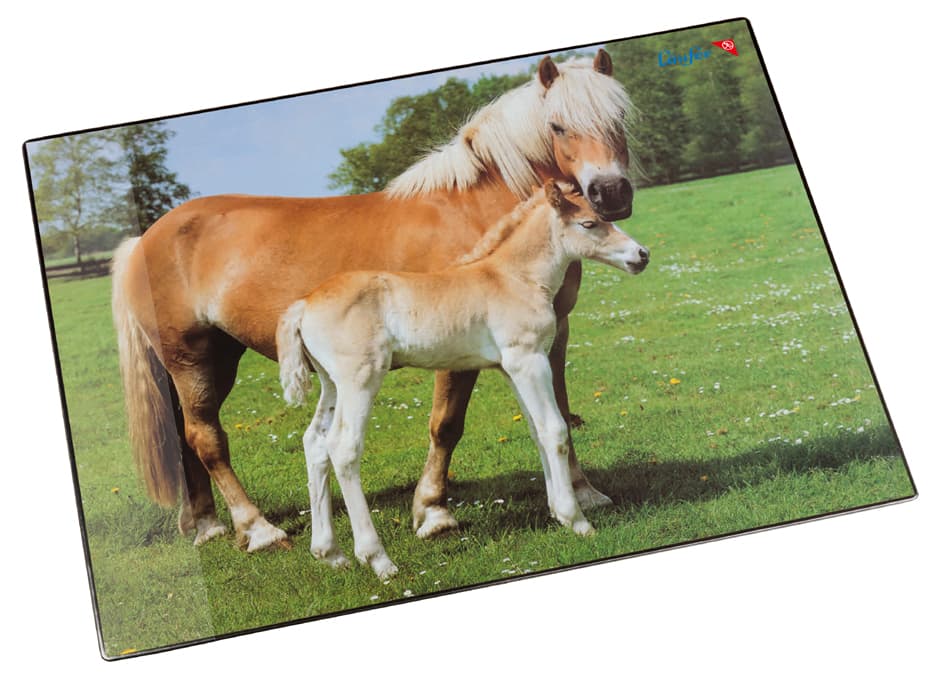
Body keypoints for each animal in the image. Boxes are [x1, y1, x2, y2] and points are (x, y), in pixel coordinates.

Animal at [111, 49, 635, 552]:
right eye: (558, 125)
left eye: (620, 118)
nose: (610, 192)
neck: (476, 216)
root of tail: (144, 239)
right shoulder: (463, 354)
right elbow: (447, 425)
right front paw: (433, 512)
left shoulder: (551, 336)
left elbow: (556, 412)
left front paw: (584, 493)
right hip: (191, 359)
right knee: (206, 438)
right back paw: (257, 529)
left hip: (216, 359)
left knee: (187, 438)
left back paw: (206, 524)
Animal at [277, 180, 649, 578]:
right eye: (589, 223)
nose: (642, 255)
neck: (513, 279)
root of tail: (304, 304)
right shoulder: (528, 359)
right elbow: (554, 430)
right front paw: (575, 519)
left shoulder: (510, 368)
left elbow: (536, 431)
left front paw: (557, 512)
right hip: (359, 379)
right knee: (343, 448)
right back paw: (377, 559)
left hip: (331, 384)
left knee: (314, 443)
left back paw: (330, 552)